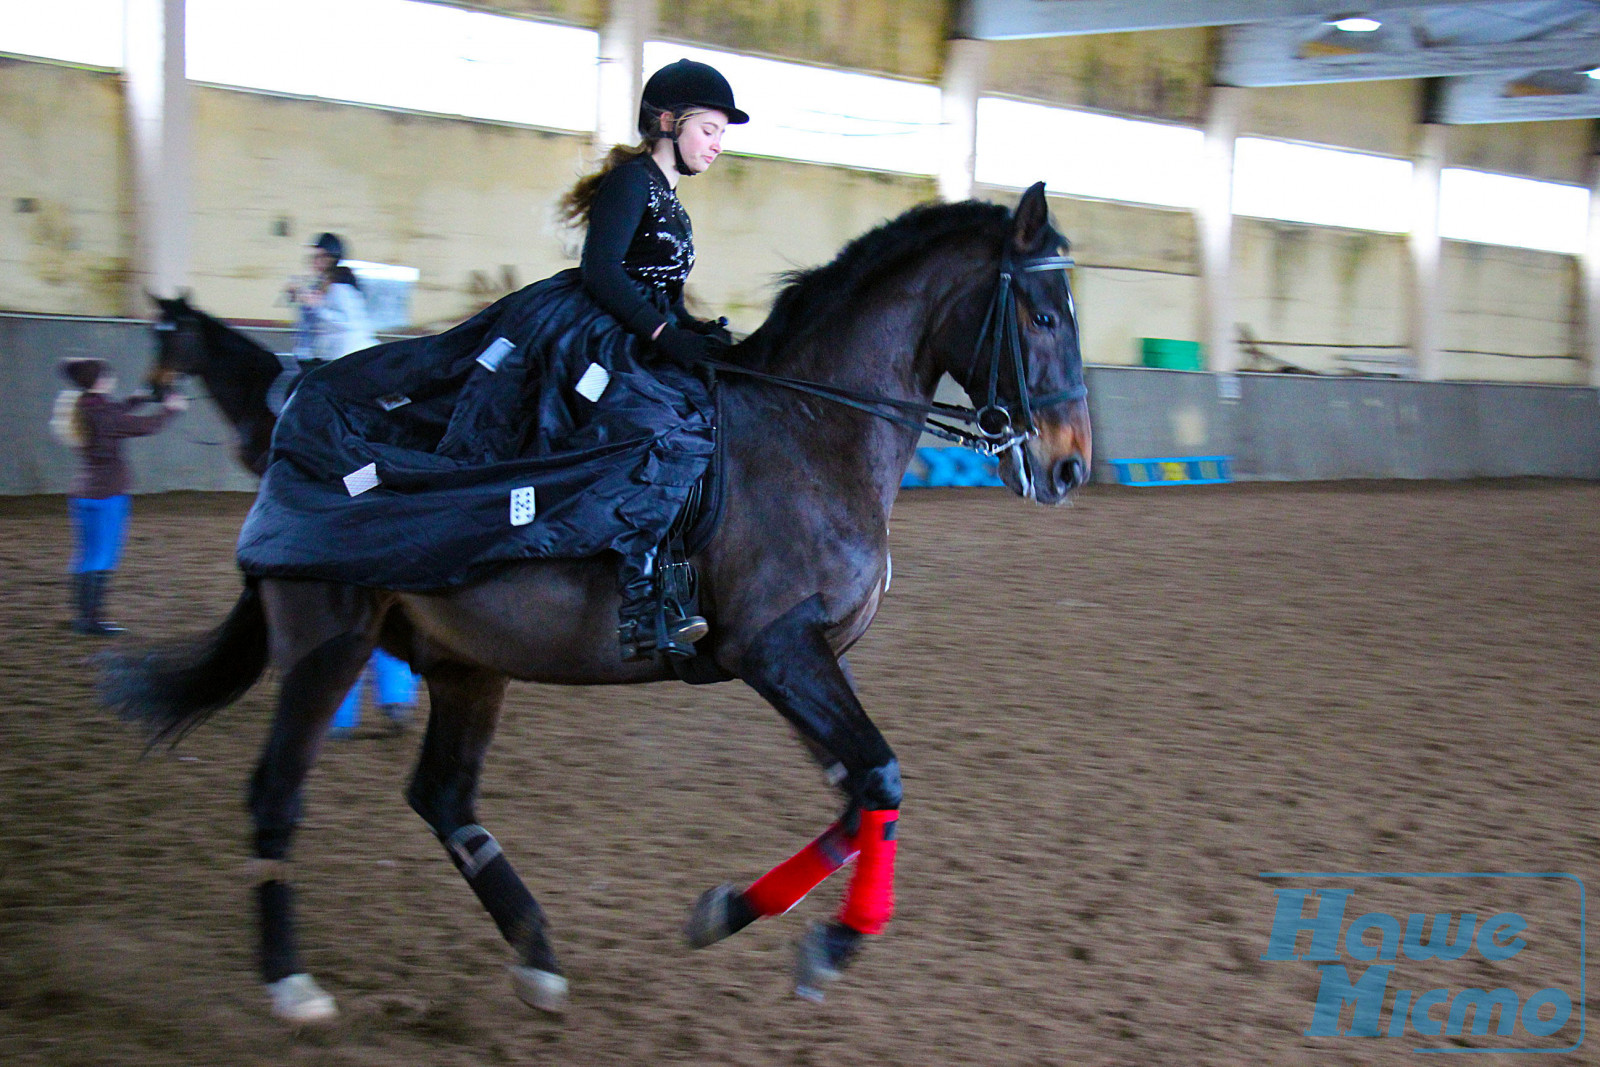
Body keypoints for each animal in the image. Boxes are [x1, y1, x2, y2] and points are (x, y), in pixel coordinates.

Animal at [106, 185, 1094, 1023]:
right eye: (1044, 315)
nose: (1069, 466)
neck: (812, 432)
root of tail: (288, 426)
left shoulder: (803, 661)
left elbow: (858, 800)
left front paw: (726, 912)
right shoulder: (778, 650)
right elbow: (880, 777)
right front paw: (833, 943)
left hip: (467, 663)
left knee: (442, 794)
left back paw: (538, 957)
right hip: (327, 643)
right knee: (278, 790)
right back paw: (292, 983)